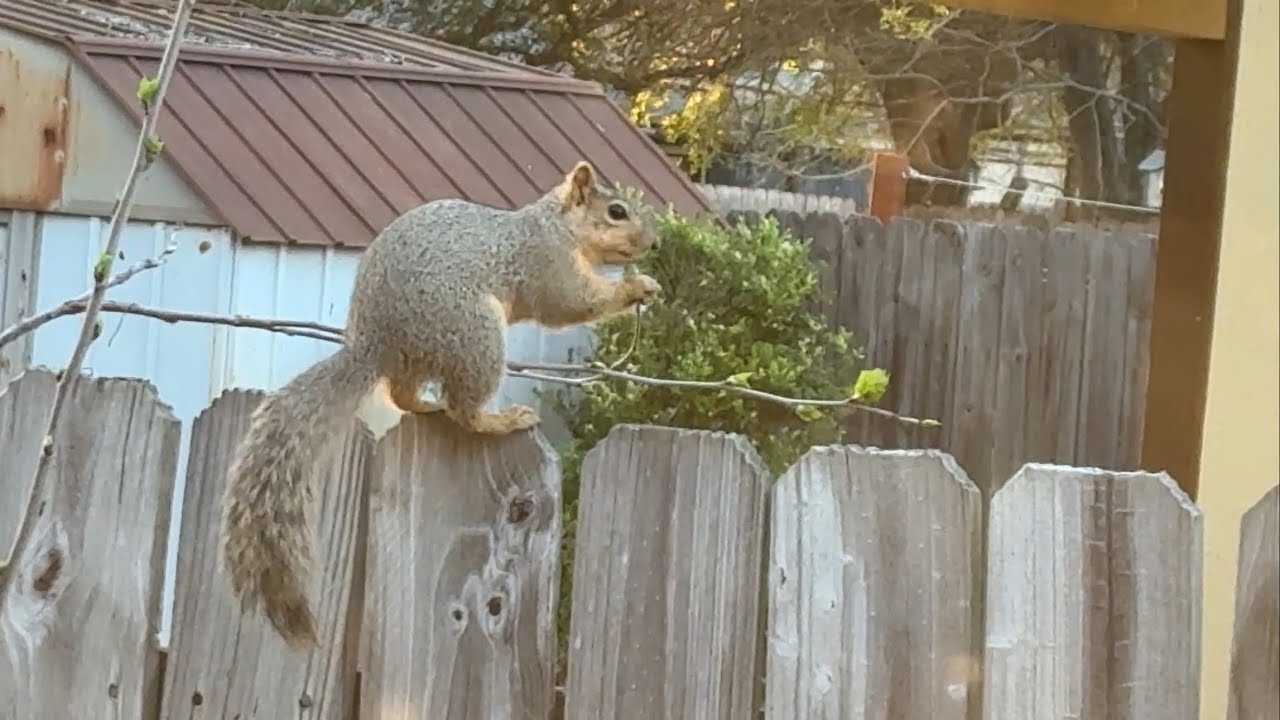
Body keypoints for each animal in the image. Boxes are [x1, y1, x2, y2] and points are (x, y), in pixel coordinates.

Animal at [218, 160, 662, 649]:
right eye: (617, 211)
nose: (655, 243)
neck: (557, 225)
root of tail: (375, 343)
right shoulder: (546, 262)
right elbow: (568, 302)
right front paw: (636, 287)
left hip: (425, 358)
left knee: (401, 393)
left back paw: (424, 407)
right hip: (475, 334)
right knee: (463, 408)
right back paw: (500, 419)